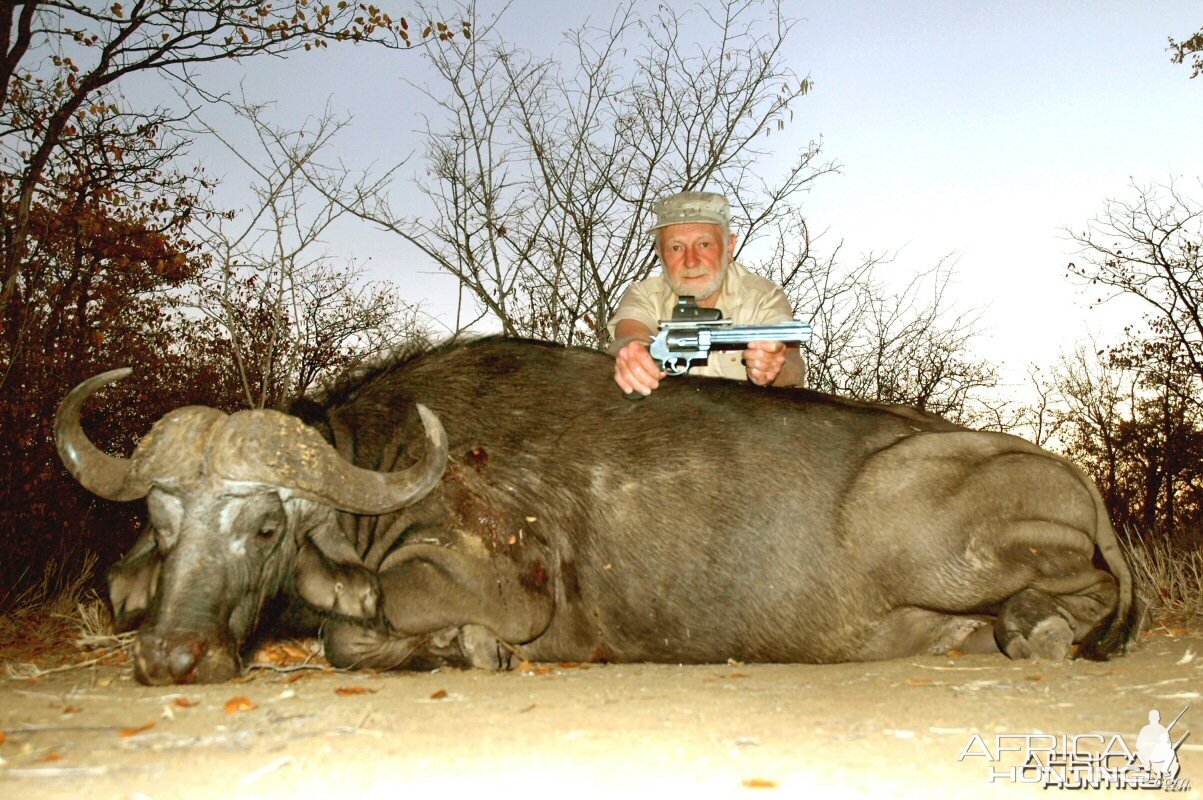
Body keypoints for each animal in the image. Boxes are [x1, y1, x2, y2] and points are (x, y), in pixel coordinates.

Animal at [54, 334, 1135, 683]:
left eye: (268, 525)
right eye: (163, 525)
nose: (172, 657)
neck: (388, 459)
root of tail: (1075, 479)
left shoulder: (499, 591)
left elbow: (355, 633)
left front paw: (462, 650)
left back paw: (1038, 631)